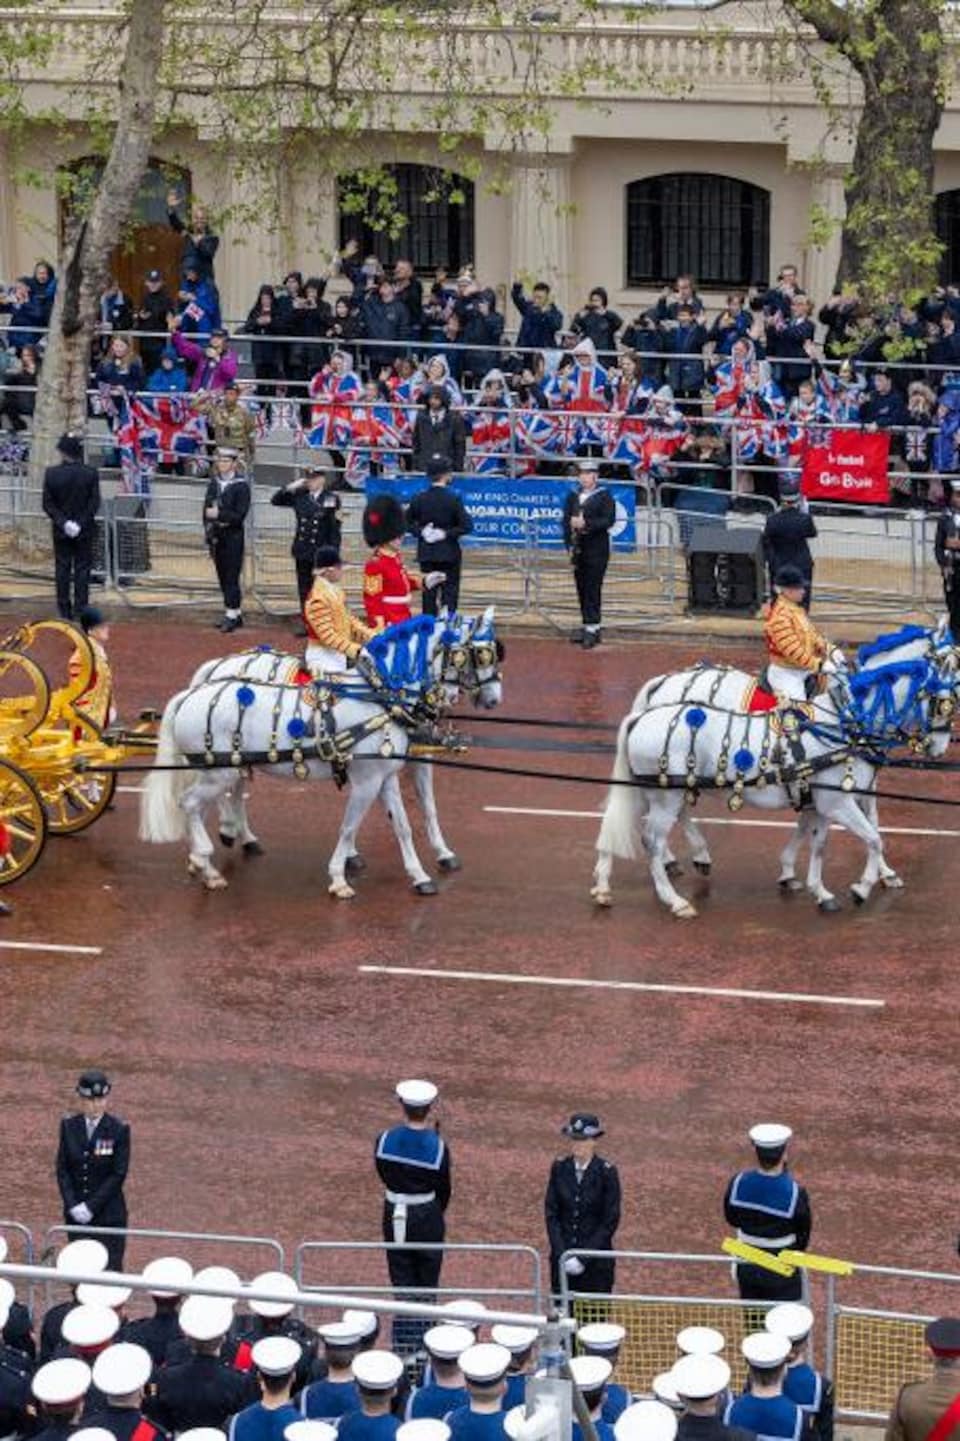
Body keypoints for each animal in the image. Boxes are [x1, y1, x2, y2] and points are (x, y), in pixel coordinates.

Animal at [144, 610, 501, 899]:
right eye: (481, 654)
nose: (493, 699)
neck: (381, 697)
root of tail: (191, 692)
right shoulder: (368, 781)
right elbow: (349, 826)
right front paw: (339, 878)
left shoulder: (387, 776)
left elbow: (405, 823)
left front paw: (421, 874)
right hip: (220, 771)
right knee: (191, 803)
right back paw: (208, 863)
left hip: (226, 767)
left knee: (213, 800)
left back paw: (214, 850)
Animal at [590, 625, 957, 916]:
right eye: (945, 700)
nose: (939, 747)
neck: (845, 723)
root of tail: (646, 710)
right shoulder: (838, 800)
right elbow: (873, 836)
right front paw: (863, 885)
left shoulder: (823, 800)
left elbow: (819, 839)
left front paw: (808, 882)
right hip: (666, 794)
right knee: (652, 837)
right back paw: (674, 897)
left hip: (654, 790)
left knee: (624, 821)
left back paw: (608, 885)